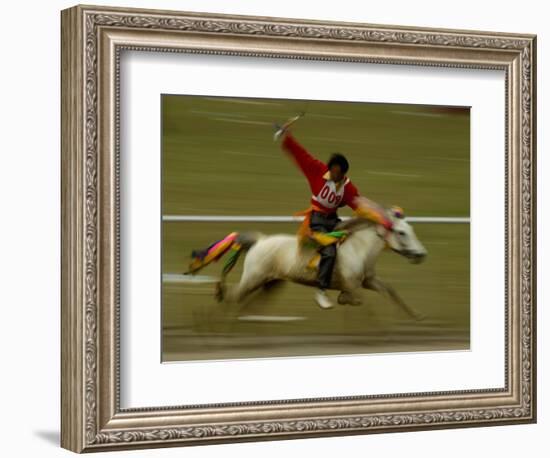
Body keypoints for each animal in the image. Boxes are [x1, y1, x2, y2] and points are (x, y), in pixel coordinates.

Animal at [218, 214, 430, 318]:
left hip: (271, 283)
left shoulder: (368, 281)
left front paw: (416, 315)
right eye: (401, 232)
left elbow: (390, 291)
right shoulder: (353, 284)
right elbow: (356, 299)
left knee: (247, 303)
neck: (359, 249)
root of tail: (259, 240)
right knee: (232, 295)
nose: (421, 255)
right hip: (253, 278)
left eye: (411, 229)